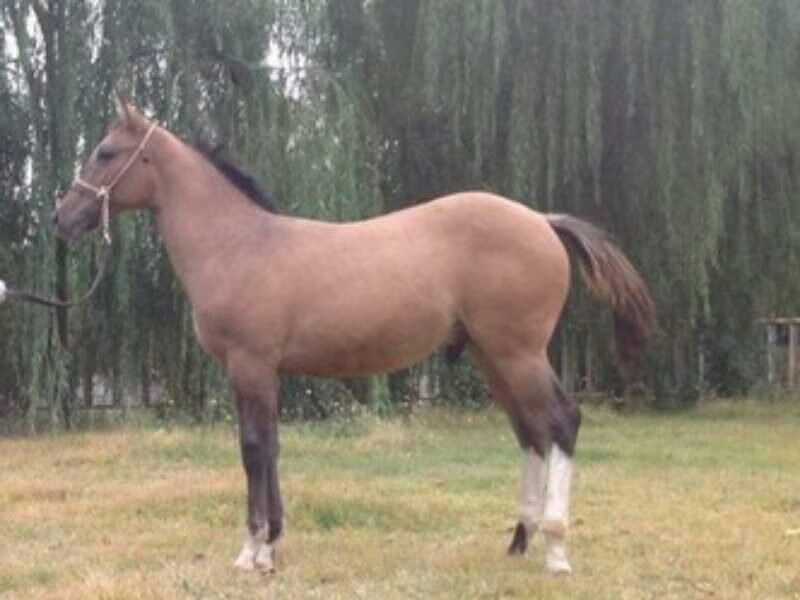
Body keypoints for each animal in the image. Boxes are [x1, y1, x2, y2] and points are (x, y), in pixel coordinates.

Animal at [54, 98, 655, 575]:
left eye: (105, 152)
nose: (62, 216)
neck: (240, 245)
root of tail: (542, 221)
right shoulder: (262, 373)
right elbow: (271, 447)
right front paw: (271, 544)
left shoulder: (250, 366)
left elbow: (254, 449)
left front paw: (255, 551)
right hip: (494, 357)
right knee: (530, 432)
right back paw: (518, 542)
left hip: (519, 352)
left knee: (562, 422)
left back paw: (555, 550)